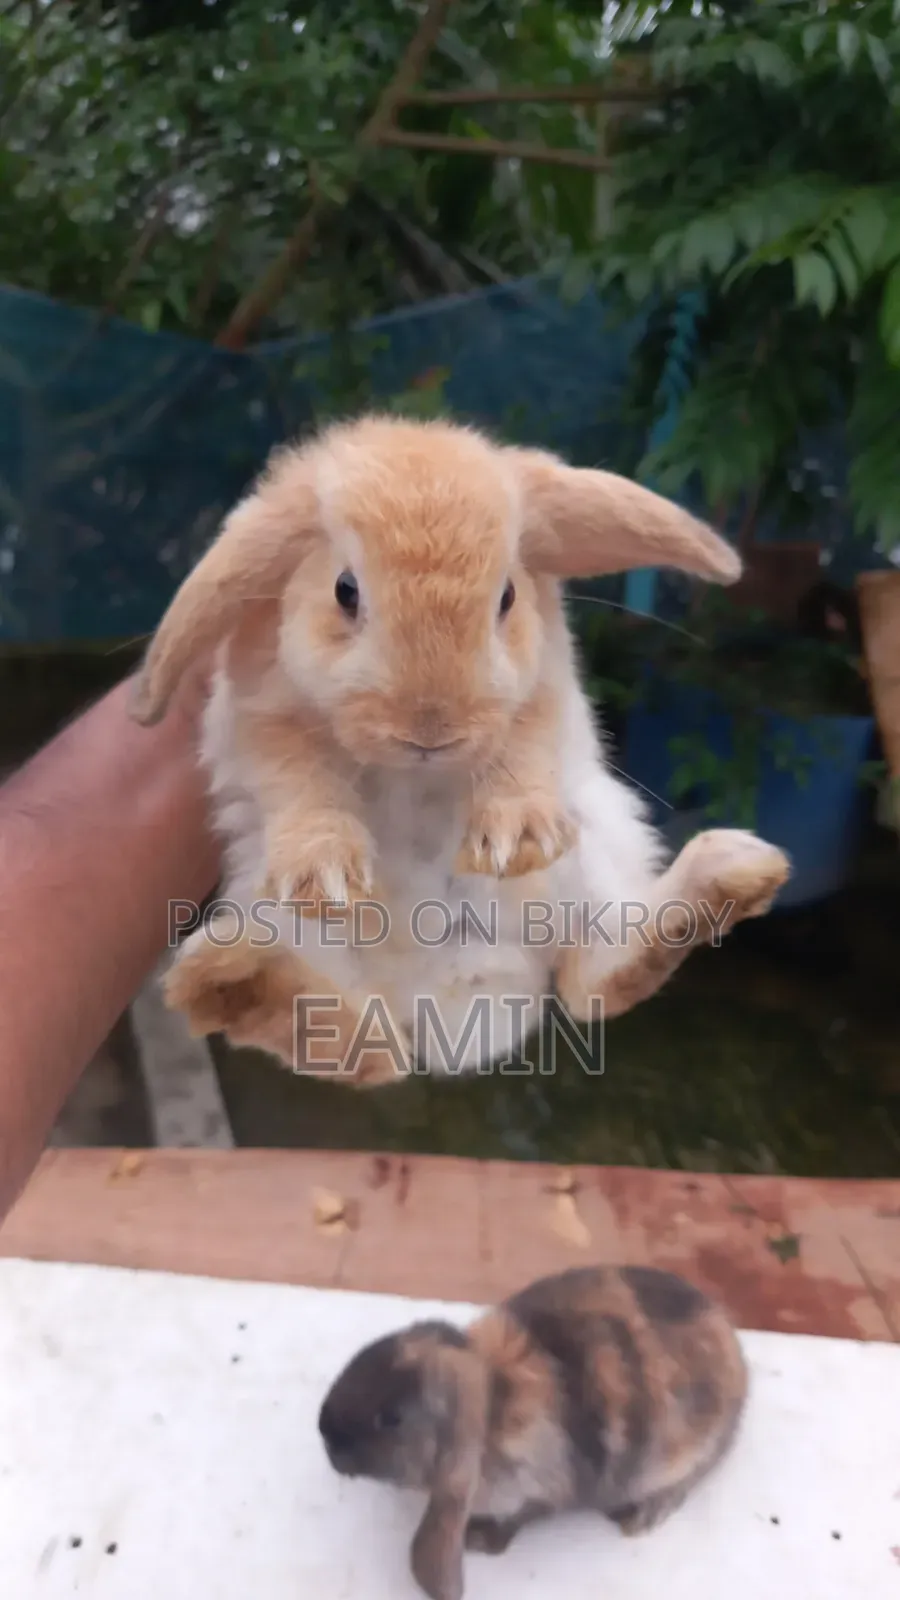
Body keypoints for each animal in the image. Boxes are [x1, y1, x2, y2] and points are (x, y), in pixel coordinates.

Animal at [129, 413, 790, 1083]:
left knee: (593, 979)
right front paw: (326, 874)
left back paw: (733, 874)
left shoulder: (538, 695)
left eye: (507, 597)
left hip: (597, 854)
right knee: (362, 1047)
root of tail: (441, 1003)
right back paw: (233, 976)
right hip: (273, 915)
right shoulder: (263, 719)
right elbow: (299, 783)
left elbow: (523, 749)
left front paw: (518, 839)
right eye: (345, 590)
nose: (430, 726)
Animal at [318, 1263, 749, 1600]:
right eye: (363, 1355)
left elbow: (519, 1519)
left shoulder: (538, 1492)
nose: (325, 1431)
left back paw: (639, 1516)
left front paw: (478, 1540)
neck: (495, 1399)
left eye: (390, 1418)